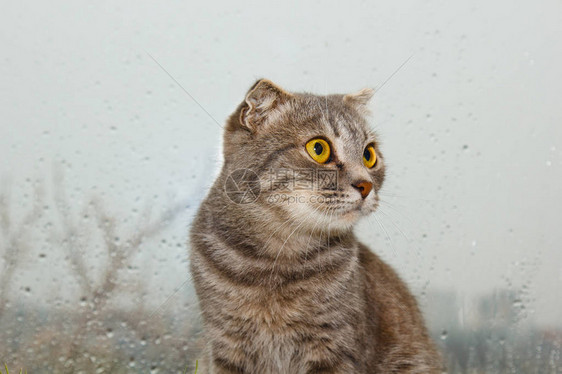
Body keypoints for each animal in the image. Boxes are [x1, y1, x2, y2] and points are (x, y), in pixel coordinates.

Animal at [189, 79, 442, 374]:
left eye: (369, 155)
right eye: (319, 149)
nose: (366, 185)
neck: (276, 263)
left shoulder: (334, 345)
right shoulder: (225, 343)